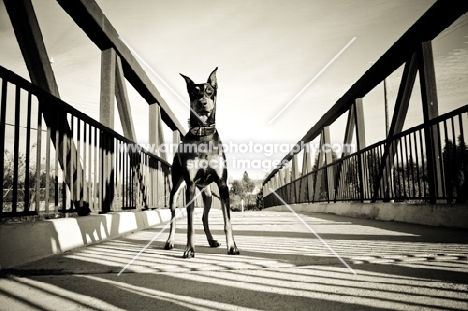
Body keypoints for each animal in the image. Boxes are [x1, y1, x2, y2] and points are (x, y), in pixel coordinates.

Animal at [164, 67, 239, 258]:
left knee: (205, 217)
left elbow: (227, 221)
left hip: (207, 194)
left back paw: (211, 241)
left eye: (210, 91)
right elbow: (190, 224)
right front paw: (189, 249)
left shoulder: (222, 185)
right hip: (176, 190)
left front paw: (232, 246)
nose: (203, 103)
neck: (202, 133)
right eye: (193, 92)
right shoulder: (190, 185)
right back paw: (170, 241)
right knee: (173, 216)